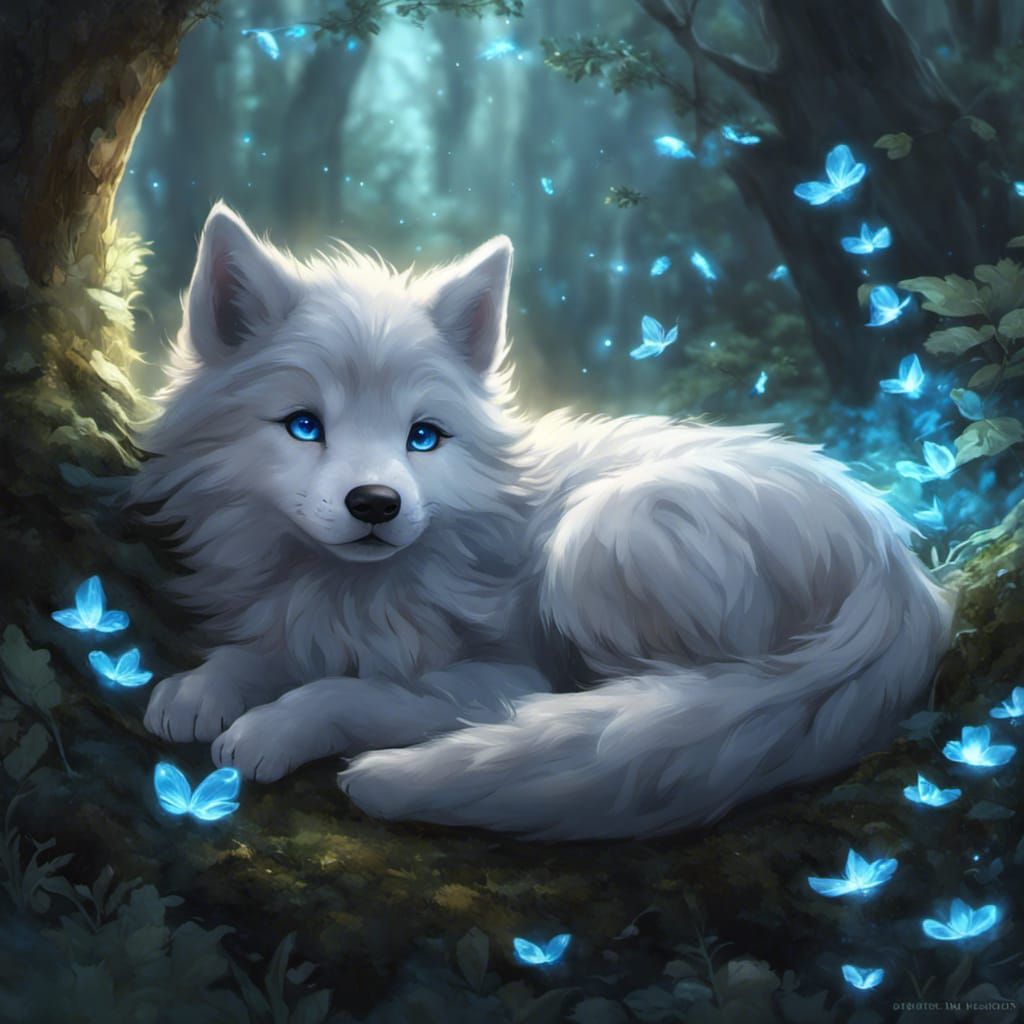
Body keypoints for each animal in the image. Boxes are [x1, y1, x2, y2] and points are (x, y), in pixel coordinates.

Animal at [134, 202, 955, 840]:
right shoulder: (306, 621)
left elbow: (349, 692)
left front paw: (274, 727)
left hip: (597, 540)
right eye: (304, 426)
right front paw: (202, 689)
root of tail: (899, 570)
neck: (347, 589)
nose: (376, 504)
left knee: (674, 700)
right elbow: (264, 654)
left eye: (423, 437)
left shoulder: (497, 676)